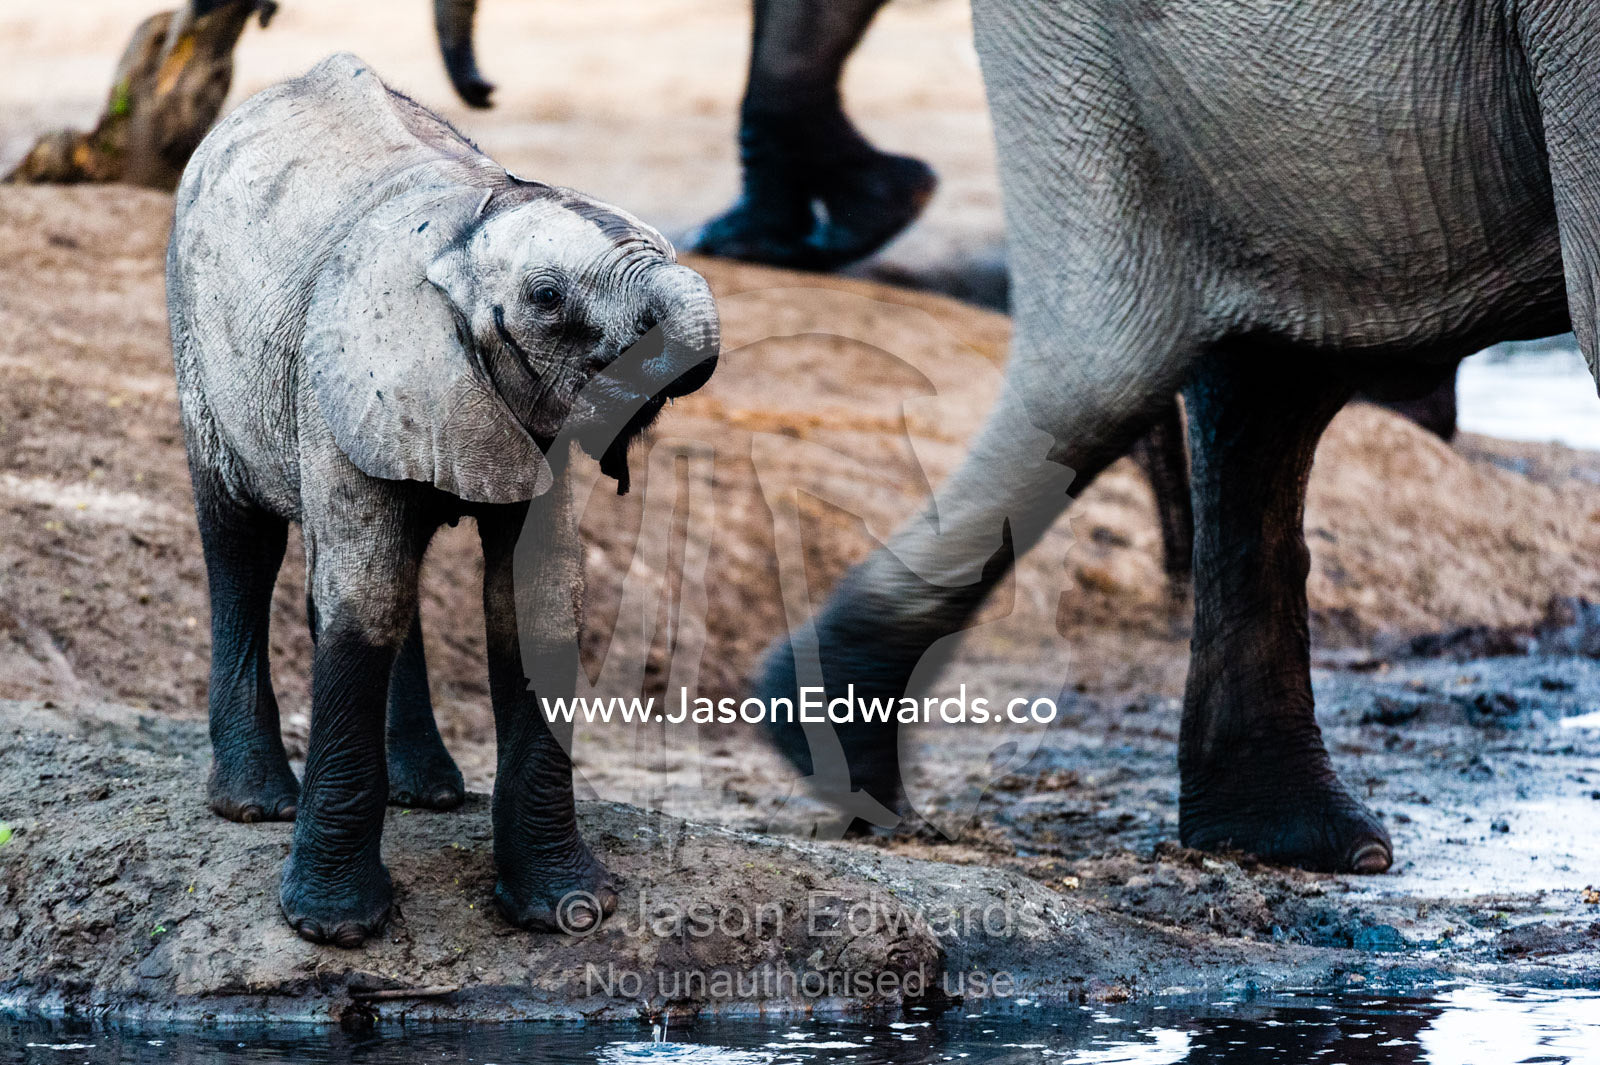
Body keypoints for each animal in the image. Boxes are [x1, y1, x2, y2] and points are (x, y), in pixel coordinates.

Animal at [167, 53, 719, 946]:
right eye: (546, 297)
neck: (462, 231)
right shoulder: (337, 379)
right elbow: (364, 596)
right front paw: (333, 929)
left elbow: (534, 601)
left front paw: (567, 911)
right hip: (197, 334)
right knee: (248, 544)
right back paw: (255, 805)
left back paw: (426, 793)